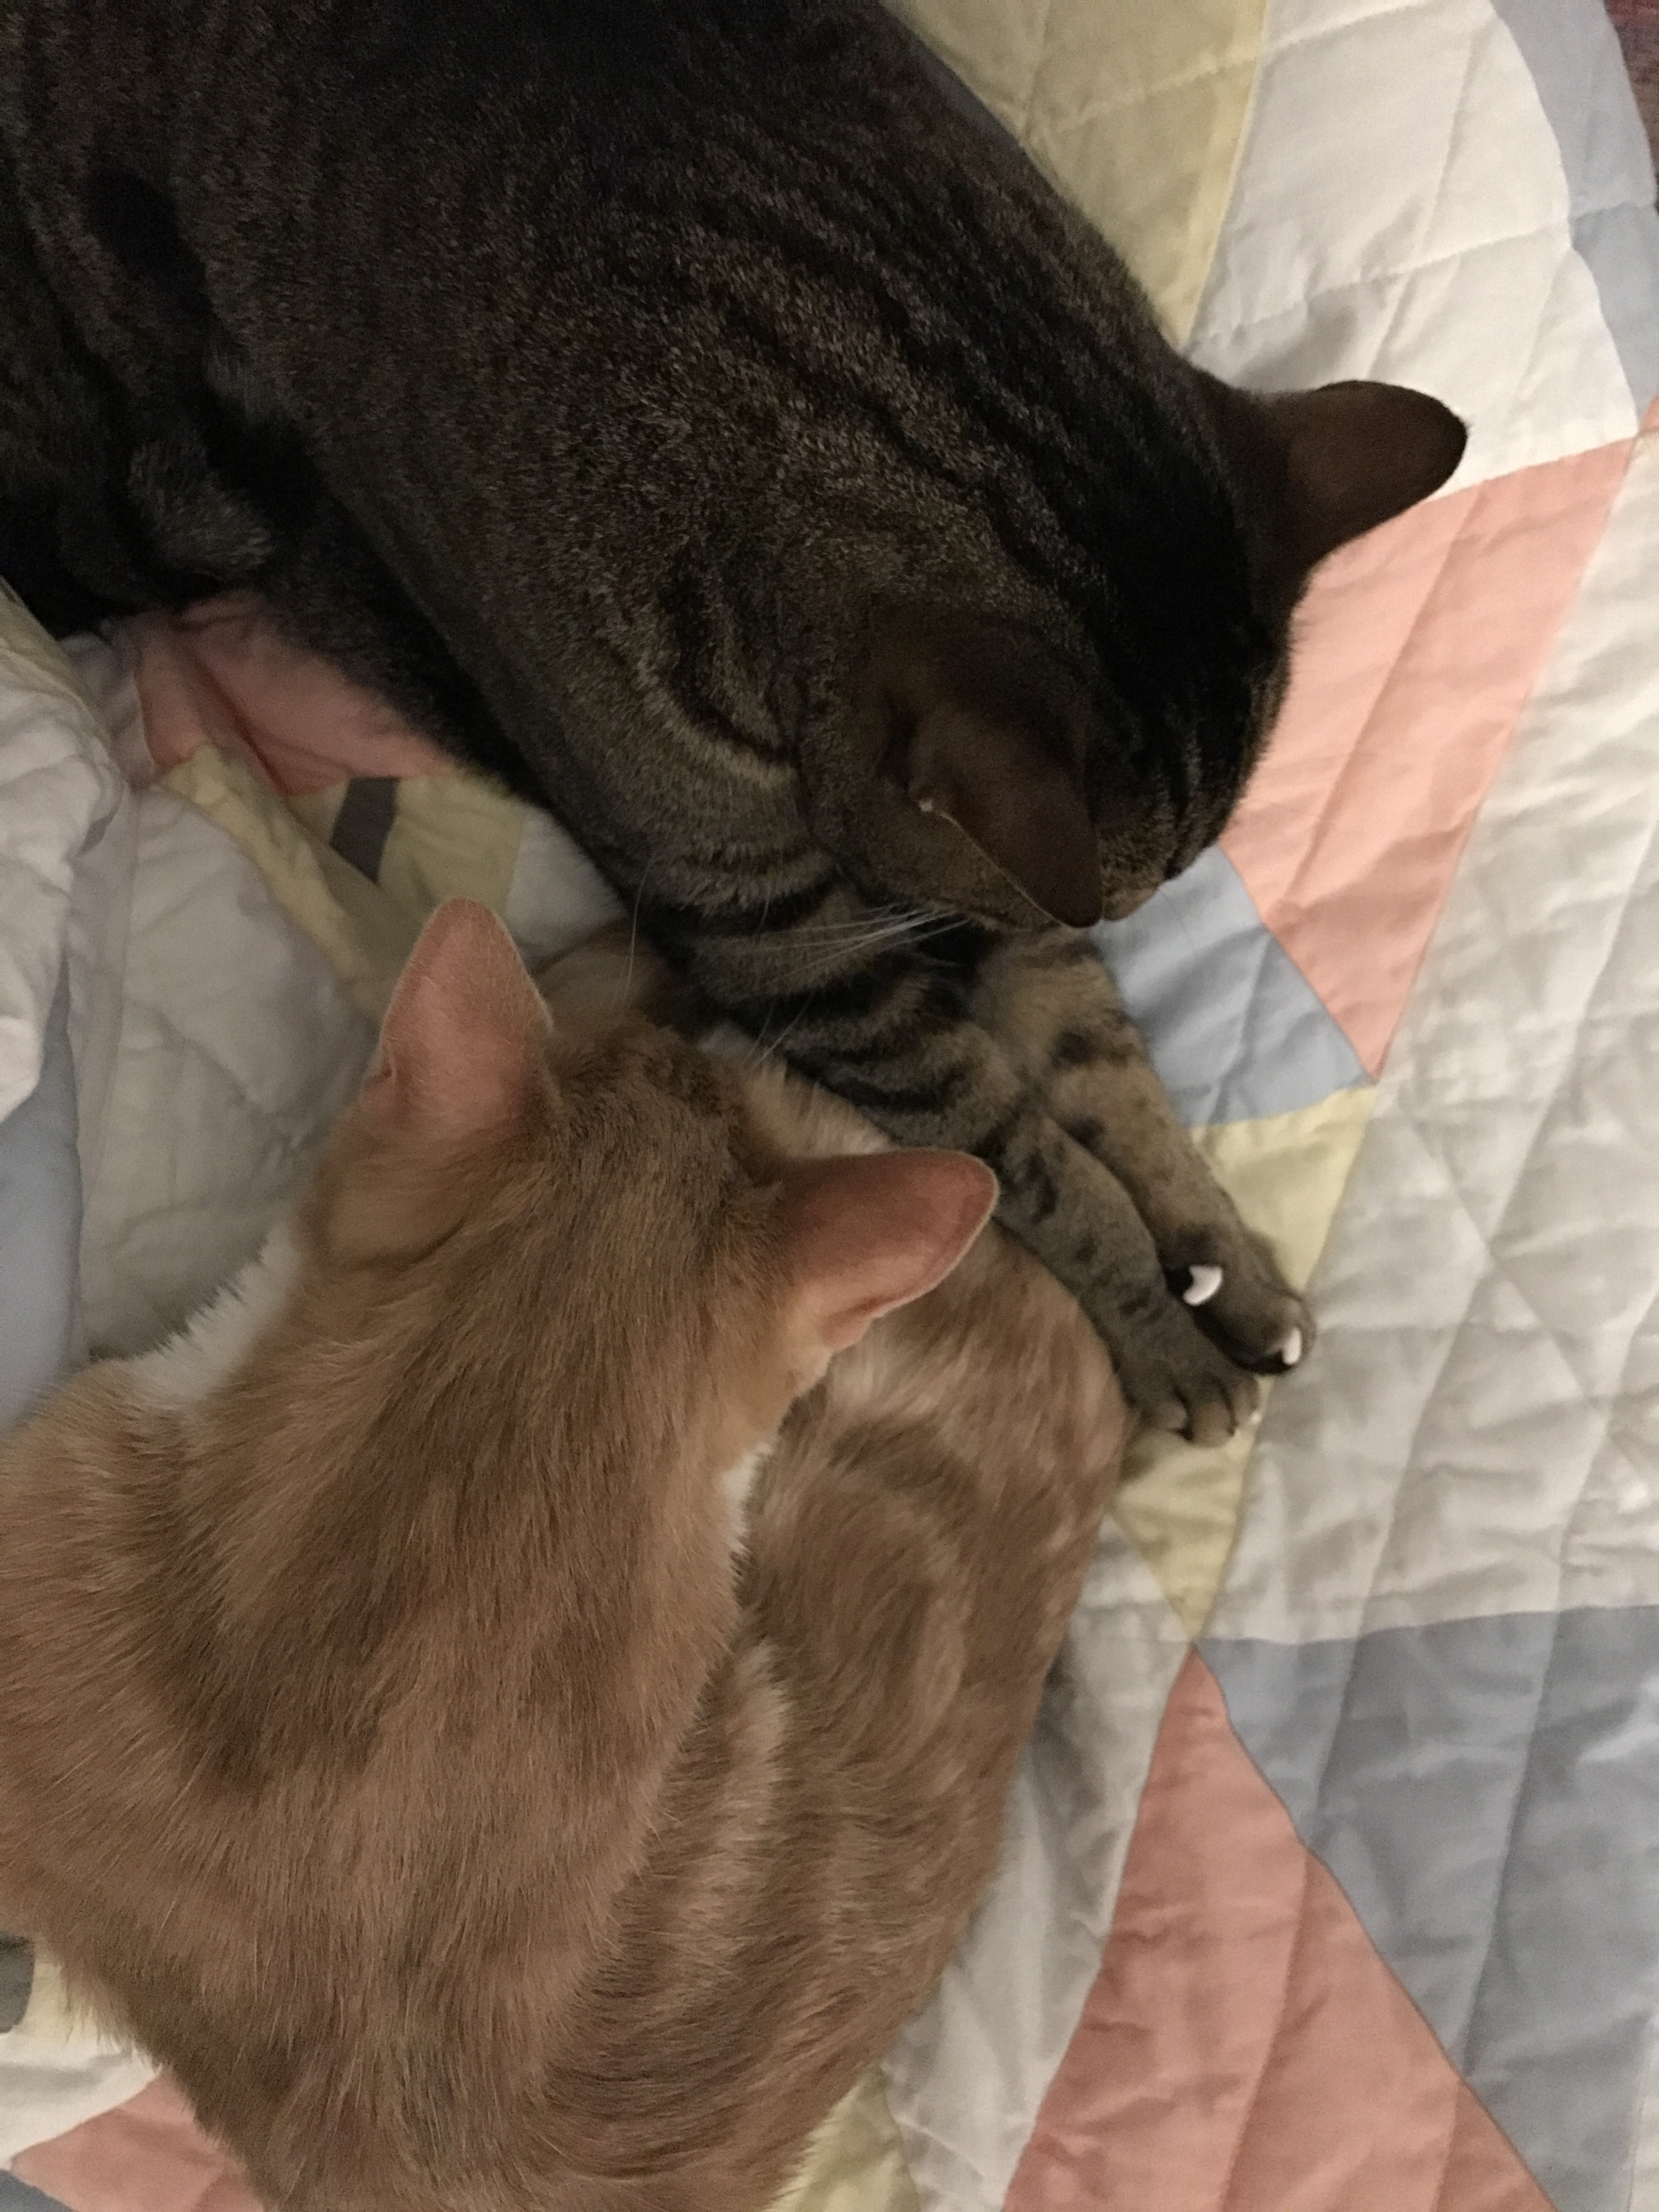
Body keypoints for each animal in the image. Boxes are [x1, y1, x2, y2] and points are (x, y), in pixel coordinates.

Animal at [0, 0, 1467, 1439]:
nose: (971, 931)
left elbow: (1105, 1068)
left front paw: (1214, 1251)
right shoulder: (782, 942)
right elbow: (1026, 1150)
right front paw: (1156, 1321)